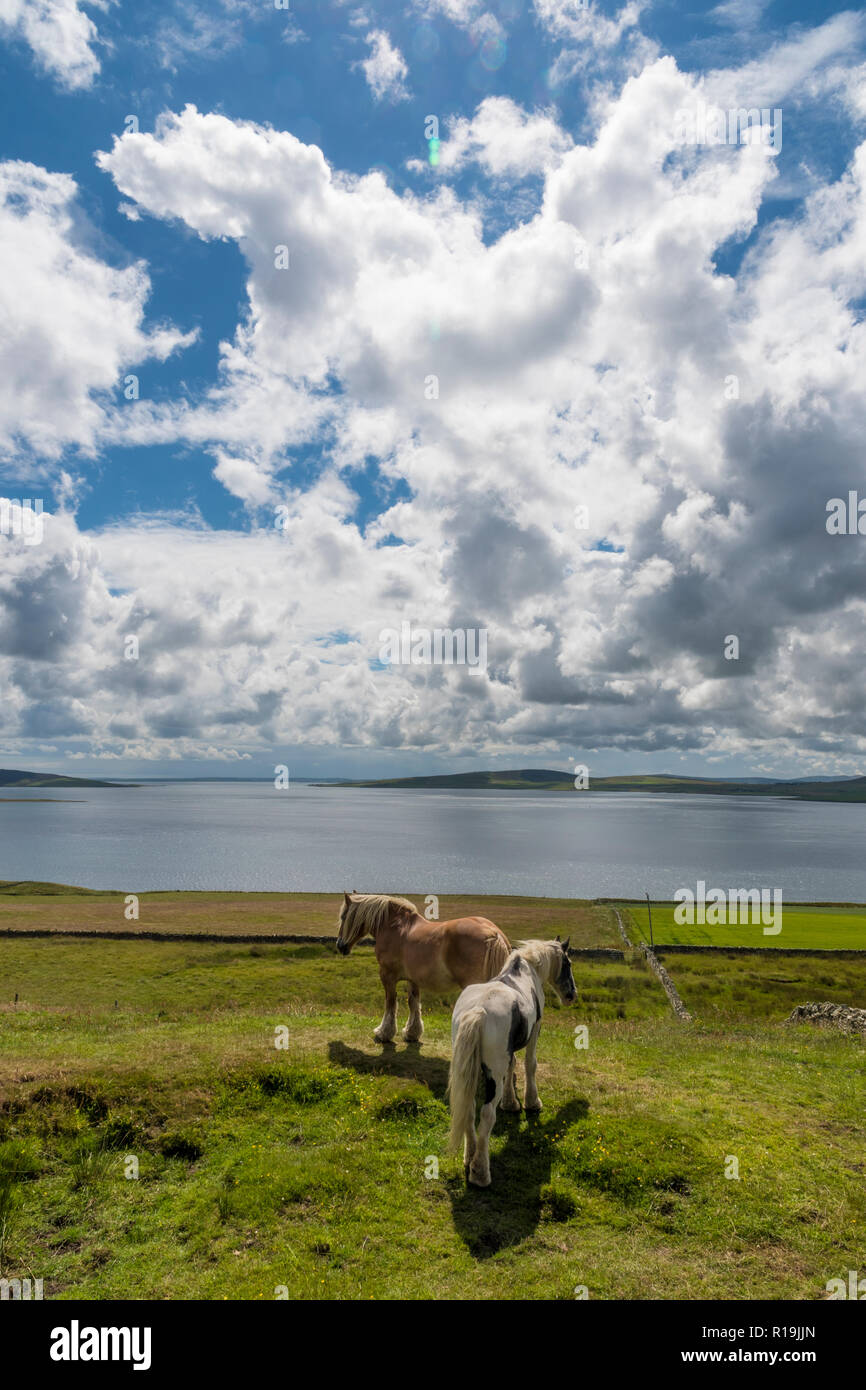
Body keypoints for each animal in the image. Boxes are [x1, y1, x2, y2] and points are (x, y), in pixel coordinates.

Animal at [335, 889, 511, 1045]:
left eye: (343, 916)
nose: (340, 945)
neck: (394, 927)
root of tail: (494, 933)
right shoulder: (413, 979)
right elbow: (413, 1002)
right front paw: (412, 1033)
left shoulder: (387, 976)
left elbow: (390, 1003)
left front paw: (384, 1033)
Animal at [447, 934, 575, 1184]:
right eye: (568, 963)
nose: (571, 995)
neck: (525, 971)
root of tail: (478, 1011)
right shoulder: (535, 1029)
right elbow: (529, 1064)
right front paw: (531, 1102)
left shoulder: (510, 1048)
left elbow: (512, 1065)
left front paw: (511, 1103)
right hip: (491, 1076)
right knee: (486, 1115)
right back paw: (480, 1172)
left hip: (469, 1071)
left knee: (469, 1109)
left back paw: (470, 1155)